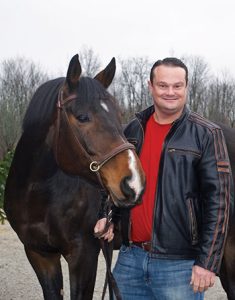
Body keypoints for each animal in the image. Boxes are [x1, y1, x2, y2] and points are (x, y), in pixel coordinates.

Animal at [3, 54, 145, 300]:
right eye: (82, 117)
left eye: (118, 115)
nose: (132, 182)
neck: (38, 194)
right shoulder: (39, 253)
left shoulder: (84, 255)